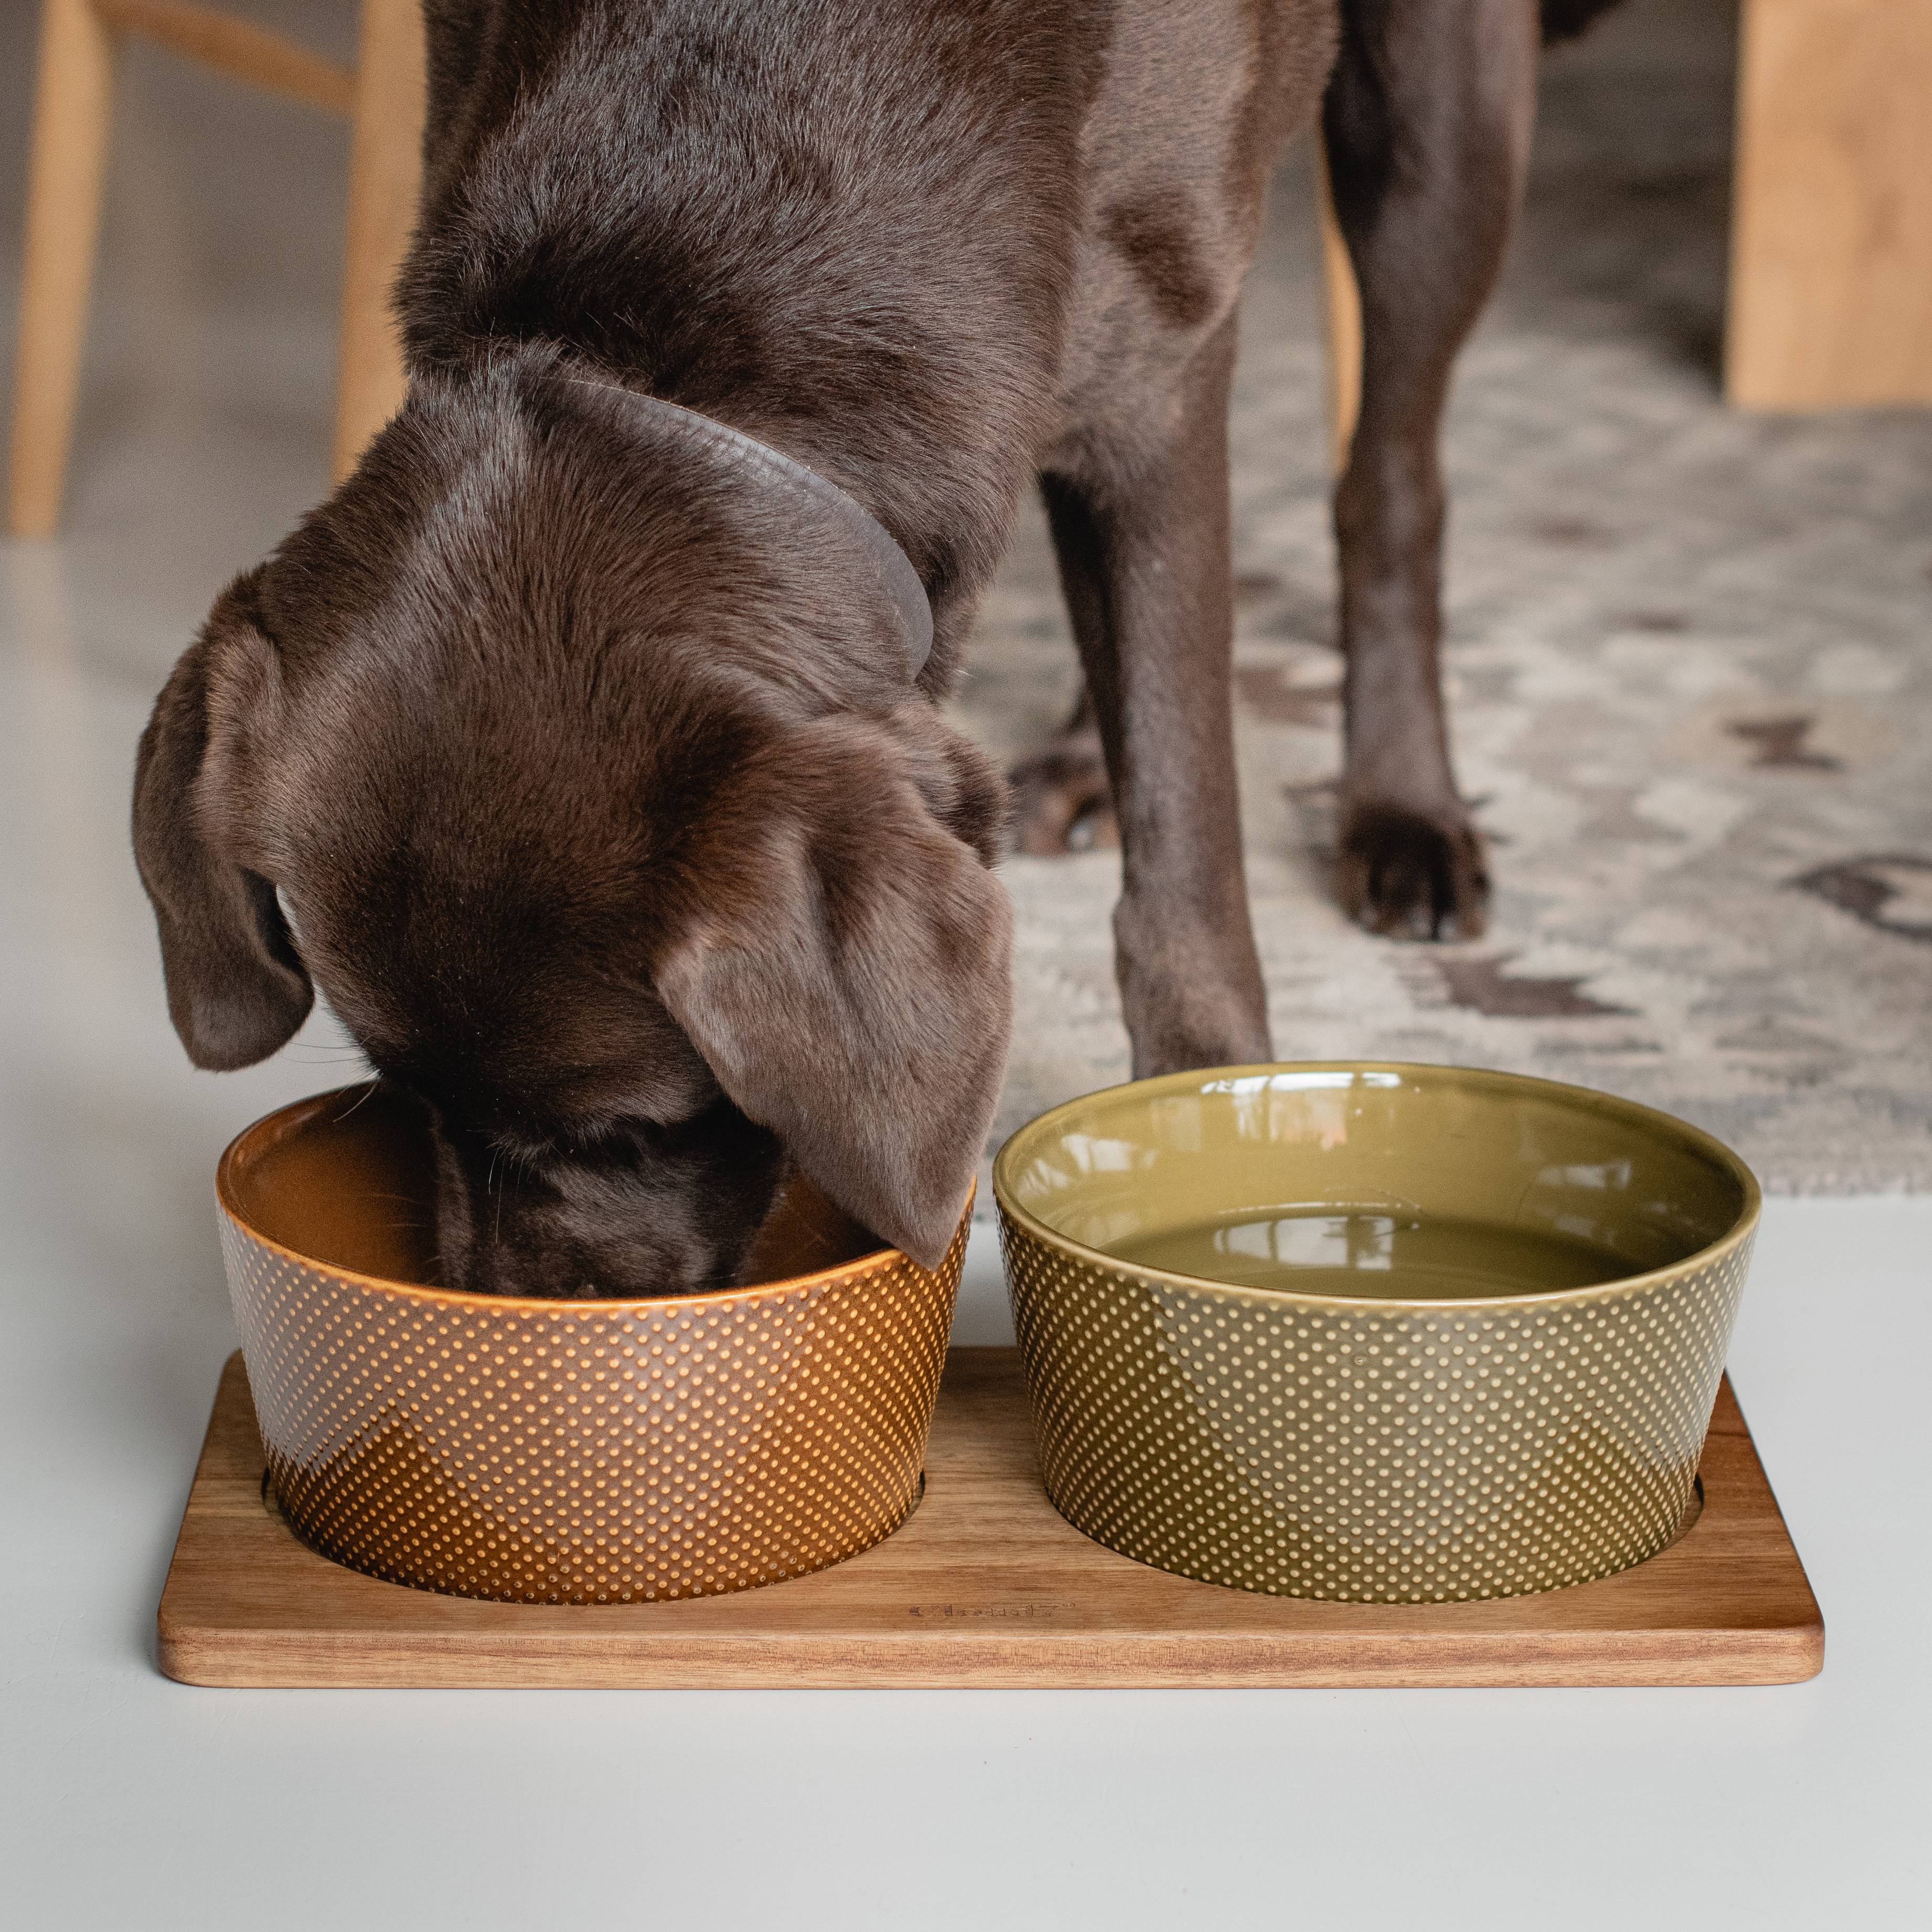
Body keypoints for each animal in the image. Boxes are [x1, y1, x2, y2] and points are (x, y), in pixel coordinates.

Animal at [132, 4, 1615, 1298]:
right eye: (398, 1090)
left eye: (630, 1129)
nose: (524, 1329)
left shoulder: (1159, 369)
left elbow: (1186, 857)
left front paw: (1205, 1106)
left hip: (1430, 124)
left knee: (1390, 475)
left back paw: (1405, 812)